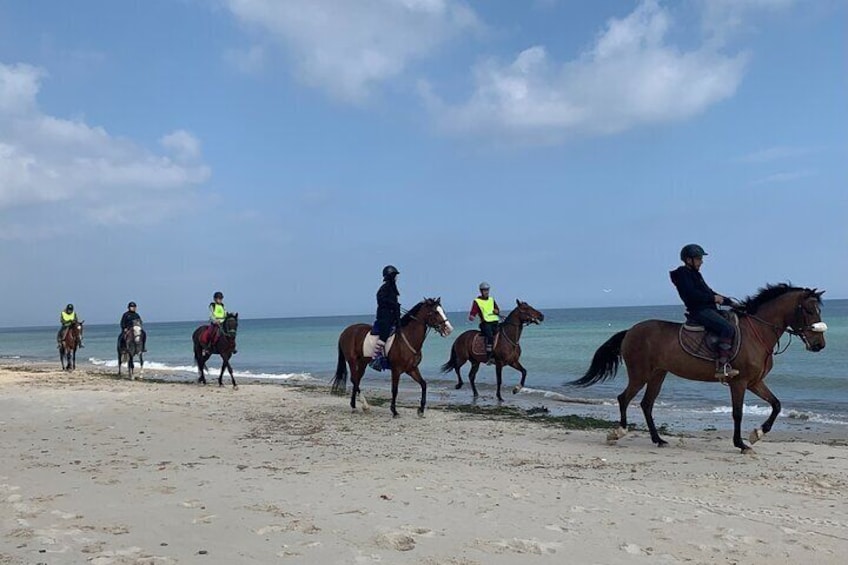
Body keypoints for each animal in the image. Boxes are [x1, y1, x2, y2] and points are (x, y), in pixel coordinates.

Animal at [568, 284, 828, 452]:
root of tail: (631, 331)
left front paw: (757, 434)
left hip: (658, 374)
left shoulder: (755, 382)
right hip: (640, 373)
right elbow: (737, 413)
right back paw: (618, 432)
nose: (819, 345)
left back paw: (658, 439)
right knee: (624, 398)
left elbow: (776, 404)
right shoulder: (739, 382)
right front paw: (741, 443)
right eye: (808, 310)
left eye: (819, 310)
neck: (757, 333)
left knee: (646, 404)